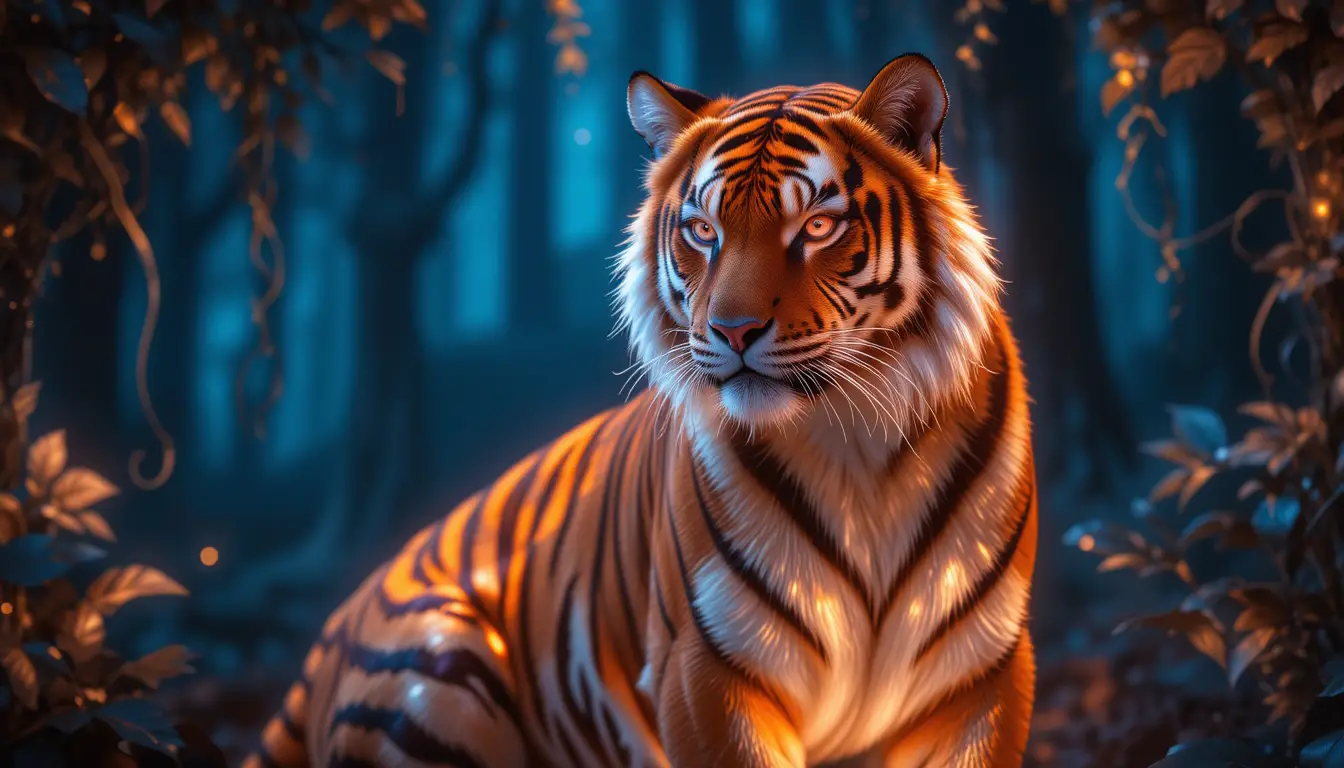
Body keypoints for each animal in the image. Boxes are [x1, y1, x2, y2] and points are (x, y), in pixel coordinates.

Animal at [245, 53, 1037, 768]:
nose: (733, 331)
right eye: (703, 231)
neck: (859, 448)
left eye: (816, 227)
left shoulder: (980, 677)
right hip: (440, 667)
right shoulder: (707, 668)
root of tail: (331, 629)